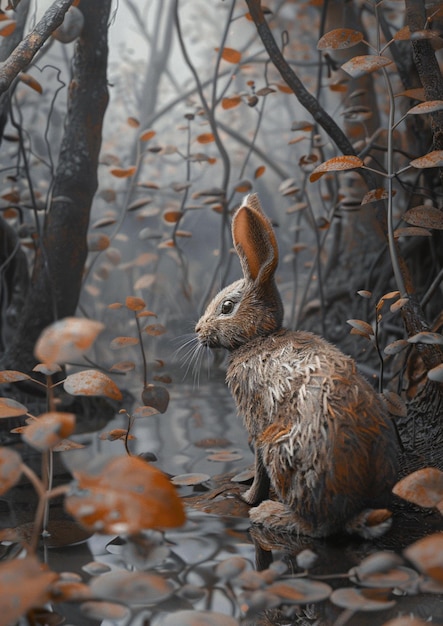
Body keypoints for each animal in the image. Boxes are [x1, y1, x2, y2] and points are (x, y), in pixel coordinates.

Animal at [196, 191, 400, 536]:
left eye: (226, 307)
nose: (198, 330)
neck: (259, 338)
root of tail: (349, 508)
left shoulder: (256, 421)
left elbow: (258, 466)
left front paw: (247, 497)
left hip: (280, 448)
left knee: (316, 527)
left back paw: (269, 513)